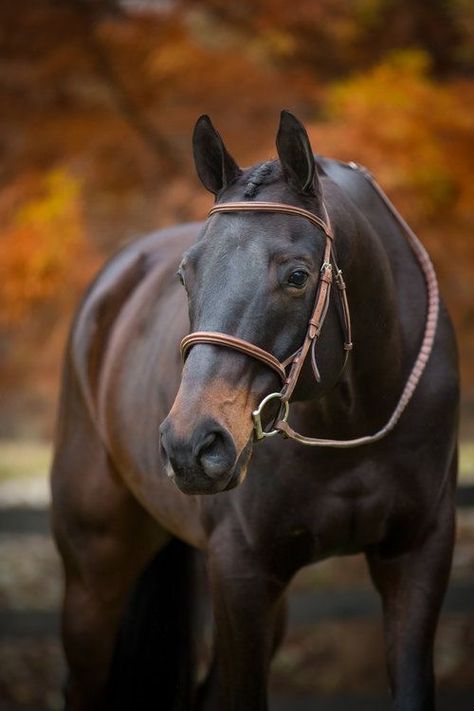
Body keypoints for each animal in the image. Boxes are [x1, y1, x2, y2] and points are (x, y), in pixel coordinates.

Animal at [51, 111, 460, 711]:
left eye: (297, 275)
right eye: (186, 275)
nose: (190, 445)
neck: (352, 425)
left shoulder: (417, 555)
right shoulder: (240, 569)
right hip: (93, 578)